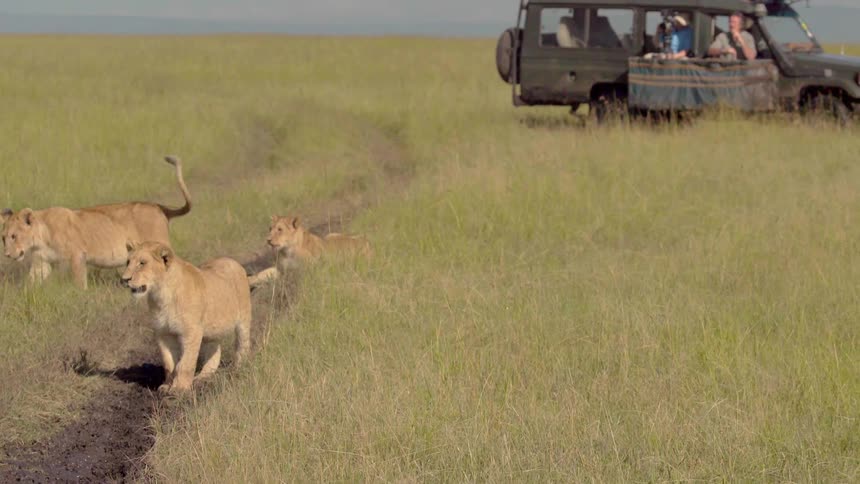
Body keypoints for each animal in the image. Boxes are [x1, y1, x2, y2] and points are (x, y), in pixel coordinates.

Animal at [1, 155, 191, 288]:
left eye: (14, 236)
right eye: (3, 238)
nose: (7, 255)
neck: (40, 237)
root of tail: (159, 206)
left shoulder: (77, 255)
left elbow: (80, 284)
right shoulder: (42, 263)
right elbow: (30, 284)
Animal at [121, 240, 252, 394]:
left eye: (142, 263)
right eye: (128, 262)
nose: (124, 279)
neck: (161, 295)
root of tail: (231, 260)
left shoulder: (191, 332)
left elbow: (185, 363)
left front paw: (180, 389)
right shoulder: (163, 334)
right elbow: (169, 364)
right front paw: (166, 386)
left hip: (243, 320)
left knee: (243, 345)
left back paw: (238, 369)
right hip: (211, 331)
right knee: (214, 351)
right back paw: (203, 378)